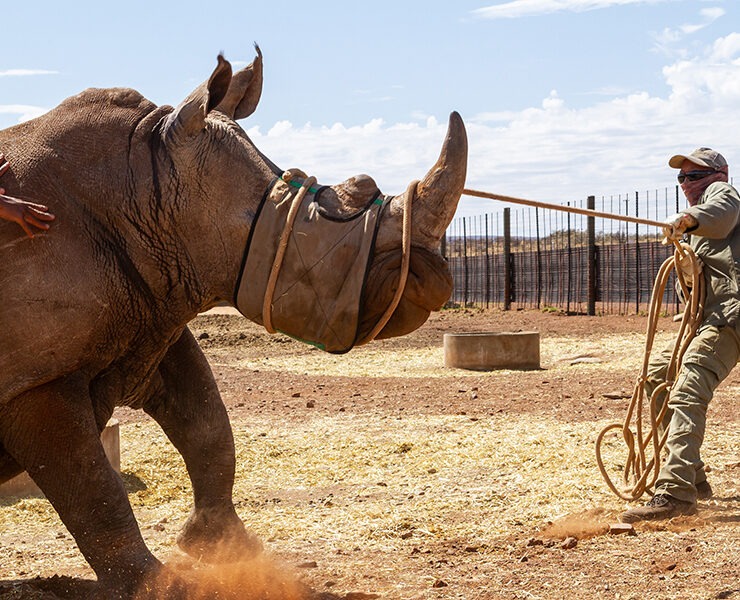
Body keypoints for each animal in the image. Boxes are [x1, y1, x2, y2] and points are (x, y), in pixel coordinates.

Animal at [0, 48, 467, 597]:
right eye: (338, 219)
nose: (434, 278)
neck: (144, 183)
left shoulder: (156, 308)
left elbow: (208, 425)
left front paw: (229, 550)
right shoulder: (37, 376)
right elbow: (93, 486)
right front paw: (162, 587)